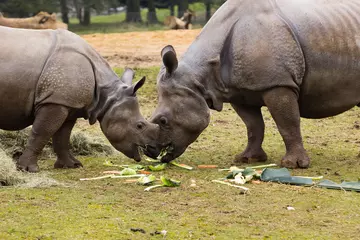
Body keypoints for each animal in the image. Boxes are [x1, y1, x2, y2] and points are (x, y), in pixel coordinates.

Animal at [0, 25, 158, 172]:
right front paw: (28, 169)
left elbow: (62, 137)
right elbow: (40, 133)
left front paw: (72, 165)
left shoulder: (68, 104)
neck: (107, 95)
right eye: (139, 125)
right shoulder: (54, 101)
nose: (155, 150)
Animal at [145, 0, 360, 169]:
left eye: (163, 121)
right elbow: (253, 126)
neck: (199, 78)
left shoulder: (278, 83)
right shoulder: (237, 91)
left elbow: (288, 123)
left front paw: (294, 165)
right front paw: (248, 159)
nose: (149, 151)